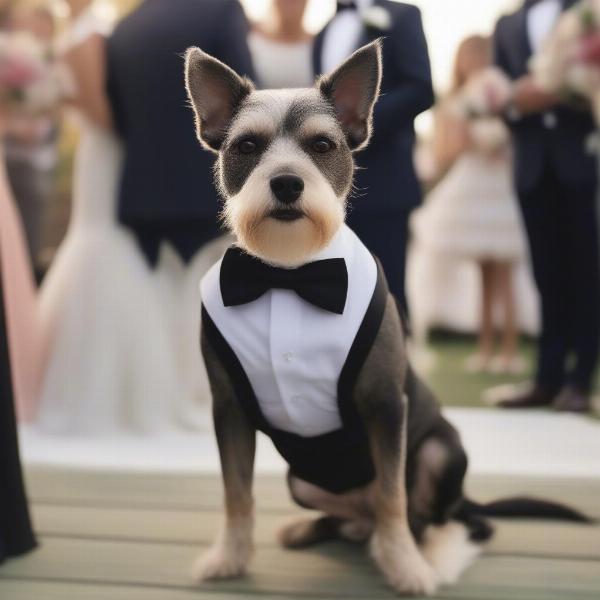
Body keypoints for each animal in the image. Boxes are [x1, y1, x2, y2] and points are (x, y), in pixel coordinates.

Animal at [185, 41, 588, 596]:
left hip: (441, 452)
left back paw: (433, 554)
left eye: (323, 145)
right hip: (301, 479)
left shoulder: (385, 406)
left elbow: (393, 497)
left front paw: (407, 568)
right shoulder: (229, 411)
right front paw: (229, 556)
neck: (290, 273)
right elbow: (236, 493)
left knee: (446, 518)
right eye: (246, 146)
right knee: (359, 516)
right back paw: (313, 528)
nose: (286, 183)